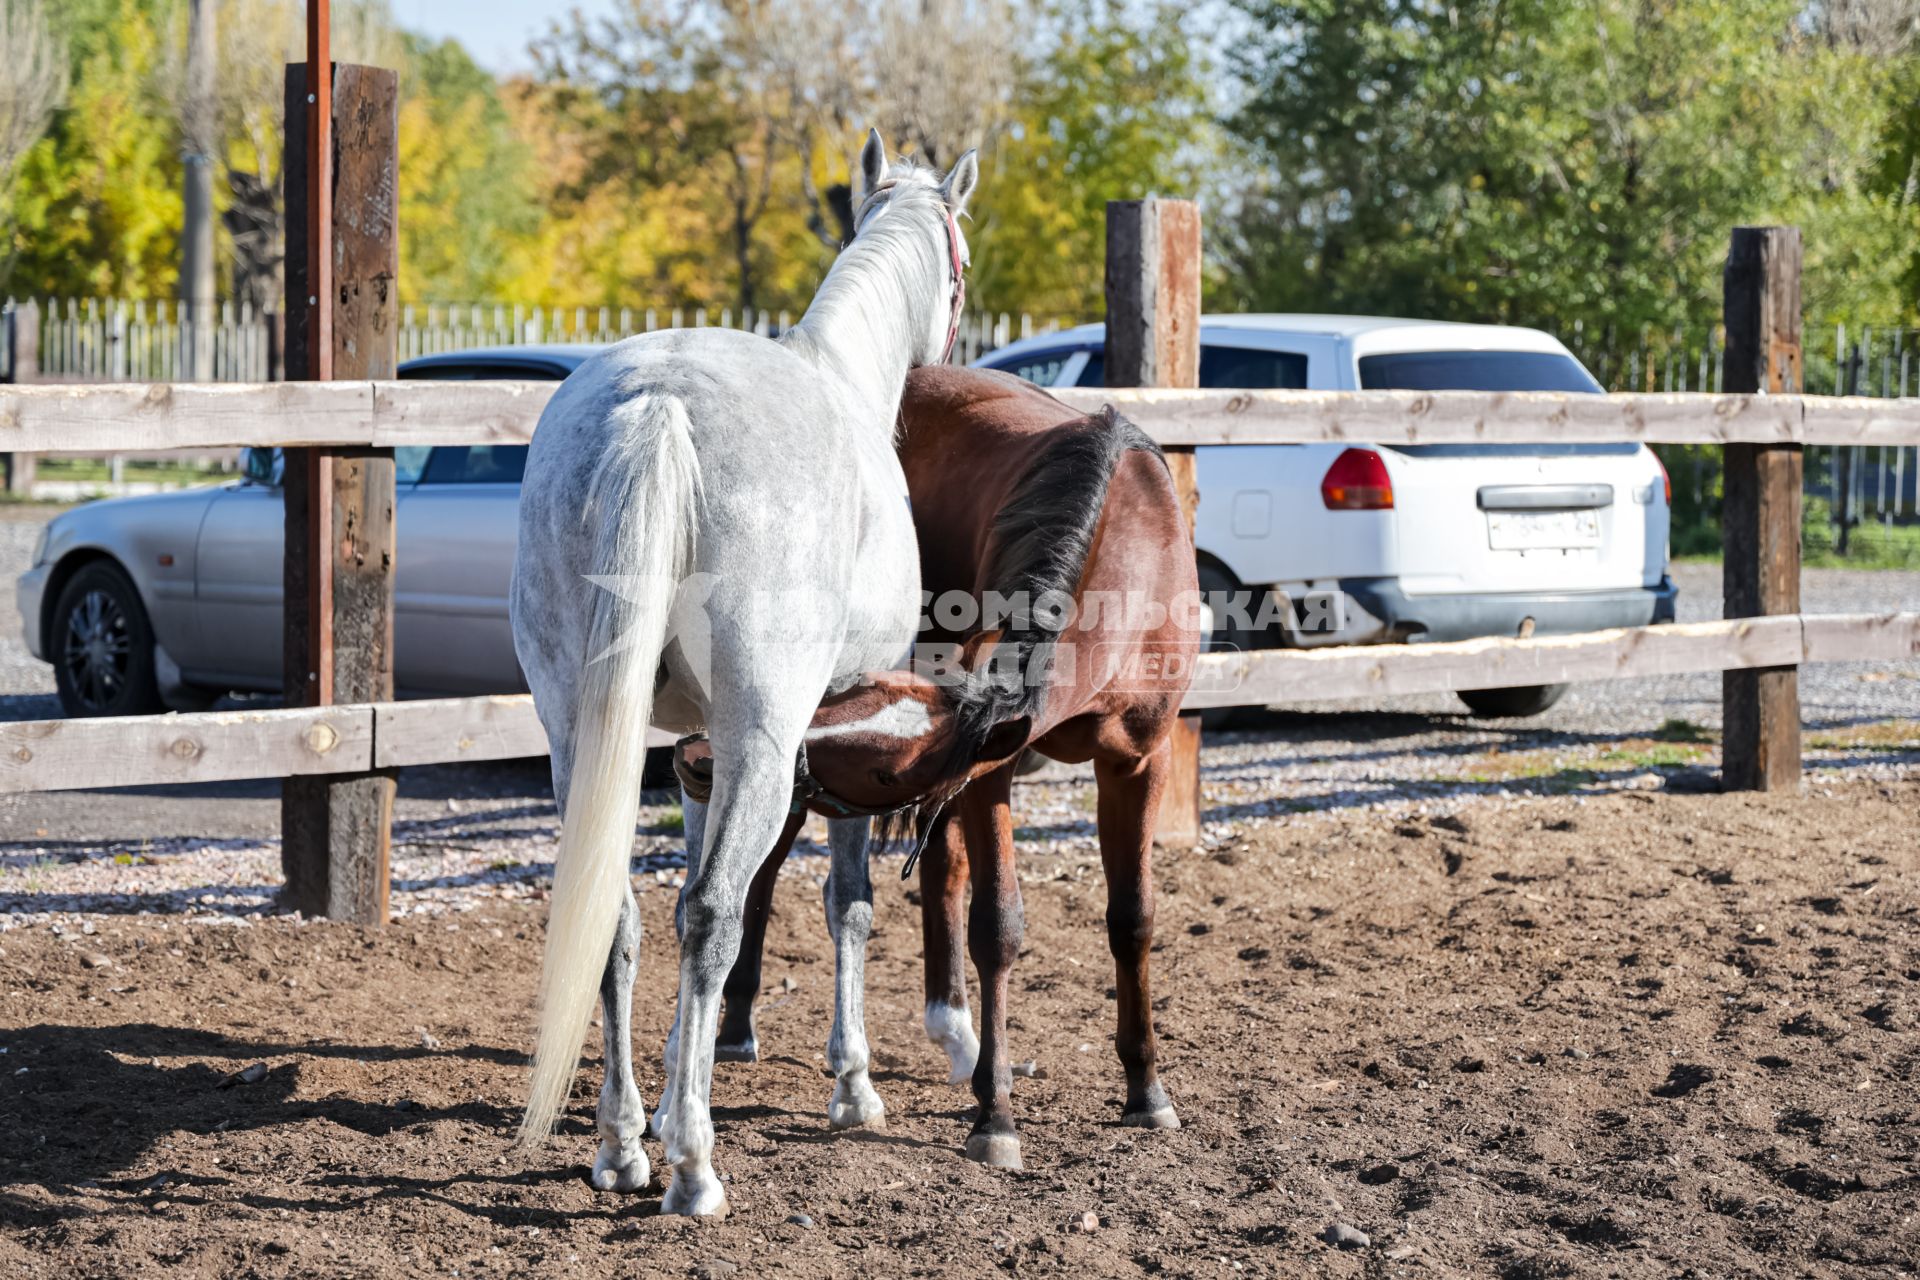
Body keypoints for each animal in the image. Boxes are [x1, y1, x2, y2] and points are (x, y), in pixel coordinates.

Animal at [510, 132, 975, 1220]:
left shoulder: (691, 752)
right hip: (762, 736)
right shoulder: (840, 736)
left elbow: (678, 902)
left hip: (578, 737)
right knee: (717, 912)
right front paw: (853, 1085)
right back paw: (692, 1166)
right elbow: (843, 901)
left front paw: (669, 1090)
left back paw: (621, 1145)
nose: (959, 350)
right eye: (964, 269)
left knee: (624, 914)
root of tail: (660, 403)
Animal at [706, 362, 1190, 1174]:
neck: (1128, 547)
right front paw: (996, 1116)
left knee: (939, 869)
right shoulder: (990, 769)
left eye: (885, 775)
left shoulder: (1136, 764)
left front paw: (1145, 1089)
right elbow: (996, 928)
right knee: (771, 862)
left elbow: (1132, 919)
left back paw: (955, 1032)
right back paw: (738, 1021)